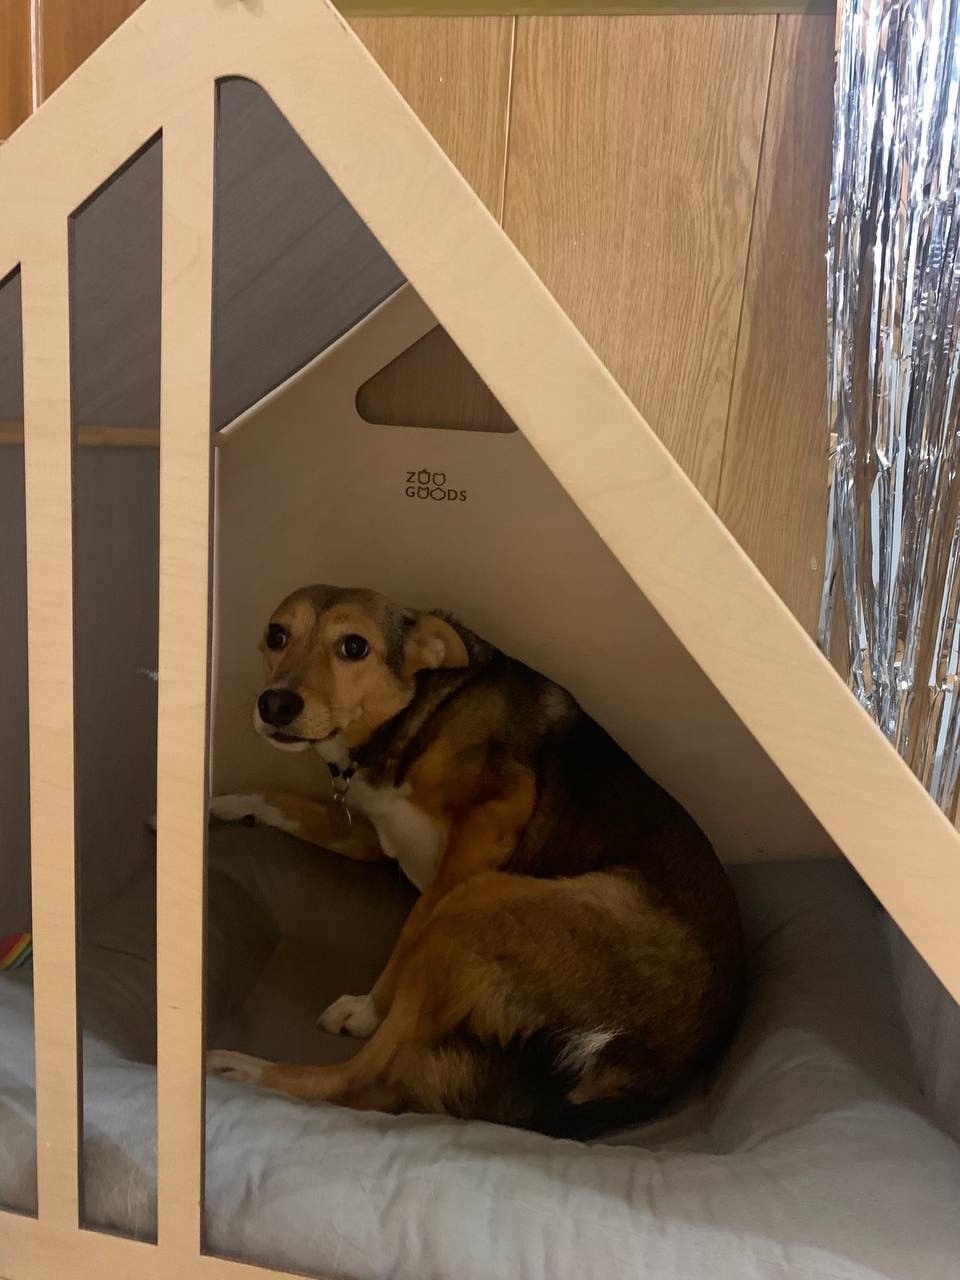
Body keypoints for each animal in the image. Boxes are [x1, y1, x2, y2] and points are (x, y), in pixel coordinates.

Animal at [207, 585, 743, 1137]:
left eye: (354, 647)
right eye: (276, 635)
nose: (274, 703)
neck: (415, 714)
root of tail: (638, 1076)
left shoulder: (487, 826)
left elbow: (411, 929)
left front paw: (368, 1007)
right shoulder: (375, 833)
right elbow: (288, 802)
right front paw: (227, 803)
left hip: (477, 901)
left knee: (364, 1081)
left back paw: (241, 1068)